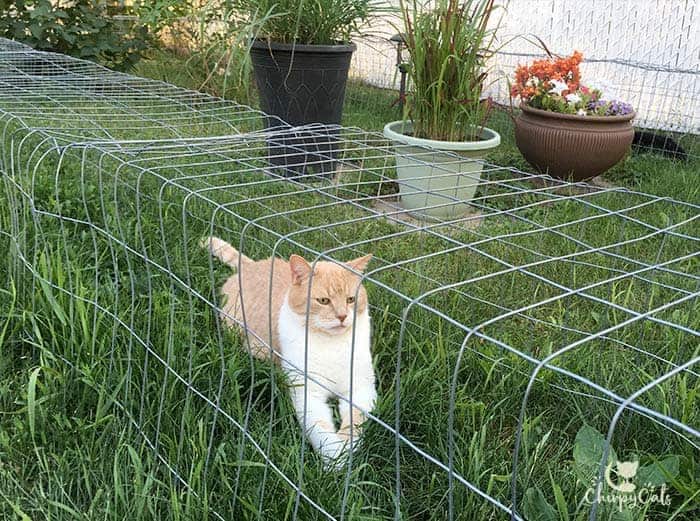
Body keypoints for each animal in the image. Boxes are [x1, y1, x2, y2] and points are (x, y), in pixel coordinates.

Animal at [202, 236, 378, 464]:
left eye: (351, 300)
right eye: (323, 301)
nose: (342, 316)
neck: (331, 345)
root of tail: (251, 265)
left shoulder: (361, 389)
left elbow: (354, 423)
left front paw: (346, 450)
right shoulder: (306, 394)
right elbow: (321, 430)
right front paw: (335, 460)